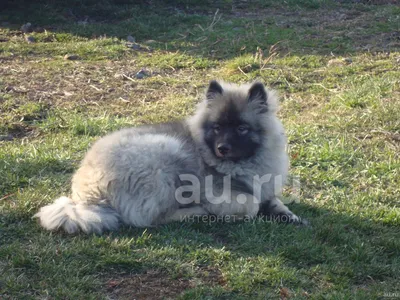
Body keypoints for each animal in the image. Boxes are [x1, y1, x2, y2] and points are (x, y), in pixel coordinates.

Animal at [34, 80, 302, 234]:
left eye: (241, 128)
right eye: (217, 127)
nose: (222, 148)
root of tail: (86, 199)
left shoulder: (266, 187)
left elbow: (273, 200)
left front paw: (288, 216)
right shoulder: (216, 192)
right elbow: (251, 205)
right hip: (166, 157)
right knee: (151, 218)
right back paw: (195, 213)